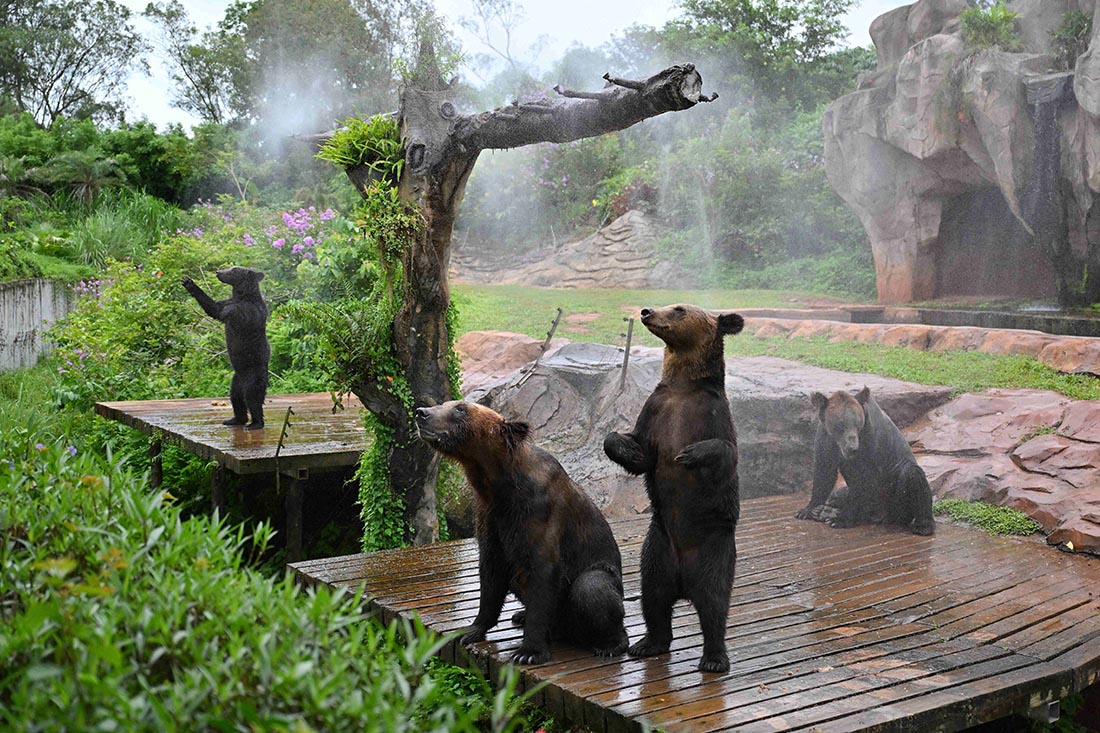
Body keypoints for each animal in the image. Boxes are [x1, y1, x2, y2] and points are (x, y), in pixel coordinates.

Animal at [180, 265, 268, 429]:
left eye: (234, 270)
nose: (218, 272)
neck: (241, 296)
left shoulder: (253, 311)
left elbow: (242, 316)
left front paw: (229, 312)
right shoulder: (227, 301)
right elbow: (214, 308)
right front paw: (188, 282)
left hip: (253, 374)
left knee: (253, 398)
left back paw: (255, 423)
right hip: (236, 380)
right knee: (236, 398)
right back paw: (234, 420)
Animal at [415, 400, 633, 660]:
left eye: (460, 408)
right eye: (447, 404)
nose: (421, 413)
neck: (499, 485)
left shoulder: (539, 514)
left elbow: (543, 575)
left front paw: (528, 651)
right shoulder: (490, 517)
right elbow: (491, 576)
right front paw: (470, 630)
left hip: (599, 577)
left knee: (592, 586)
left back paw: (610, 644)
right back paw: (520, 615)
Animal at [602, 301, 748, 673]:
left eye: (679, 309)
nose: (646, 311)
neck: (683, 386)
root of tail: (683, 581)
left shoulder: (712, 412)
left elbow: (725, 451)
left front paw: (688, 454)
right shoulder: (656, 410)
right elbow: (636, 449)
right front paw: (626, 448)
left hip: (714, 549)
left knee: (714, 601)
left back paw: (714, 658)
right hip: (658, 547)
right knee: (653, 597)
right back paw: (647, 643)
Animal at [800, 385, 937, 534]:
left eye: (857, 424)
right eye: (840, 425)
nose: (852, 448)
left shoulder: (871, 444)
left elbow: (865, 481)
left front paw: (841, 520)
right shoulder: (826, 438)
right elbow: (824, 472)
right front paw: (809, 509)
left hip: (895, 498)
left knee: (912, 475)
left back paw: (923, 526)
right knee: (837, 495)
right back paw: (825, 510)